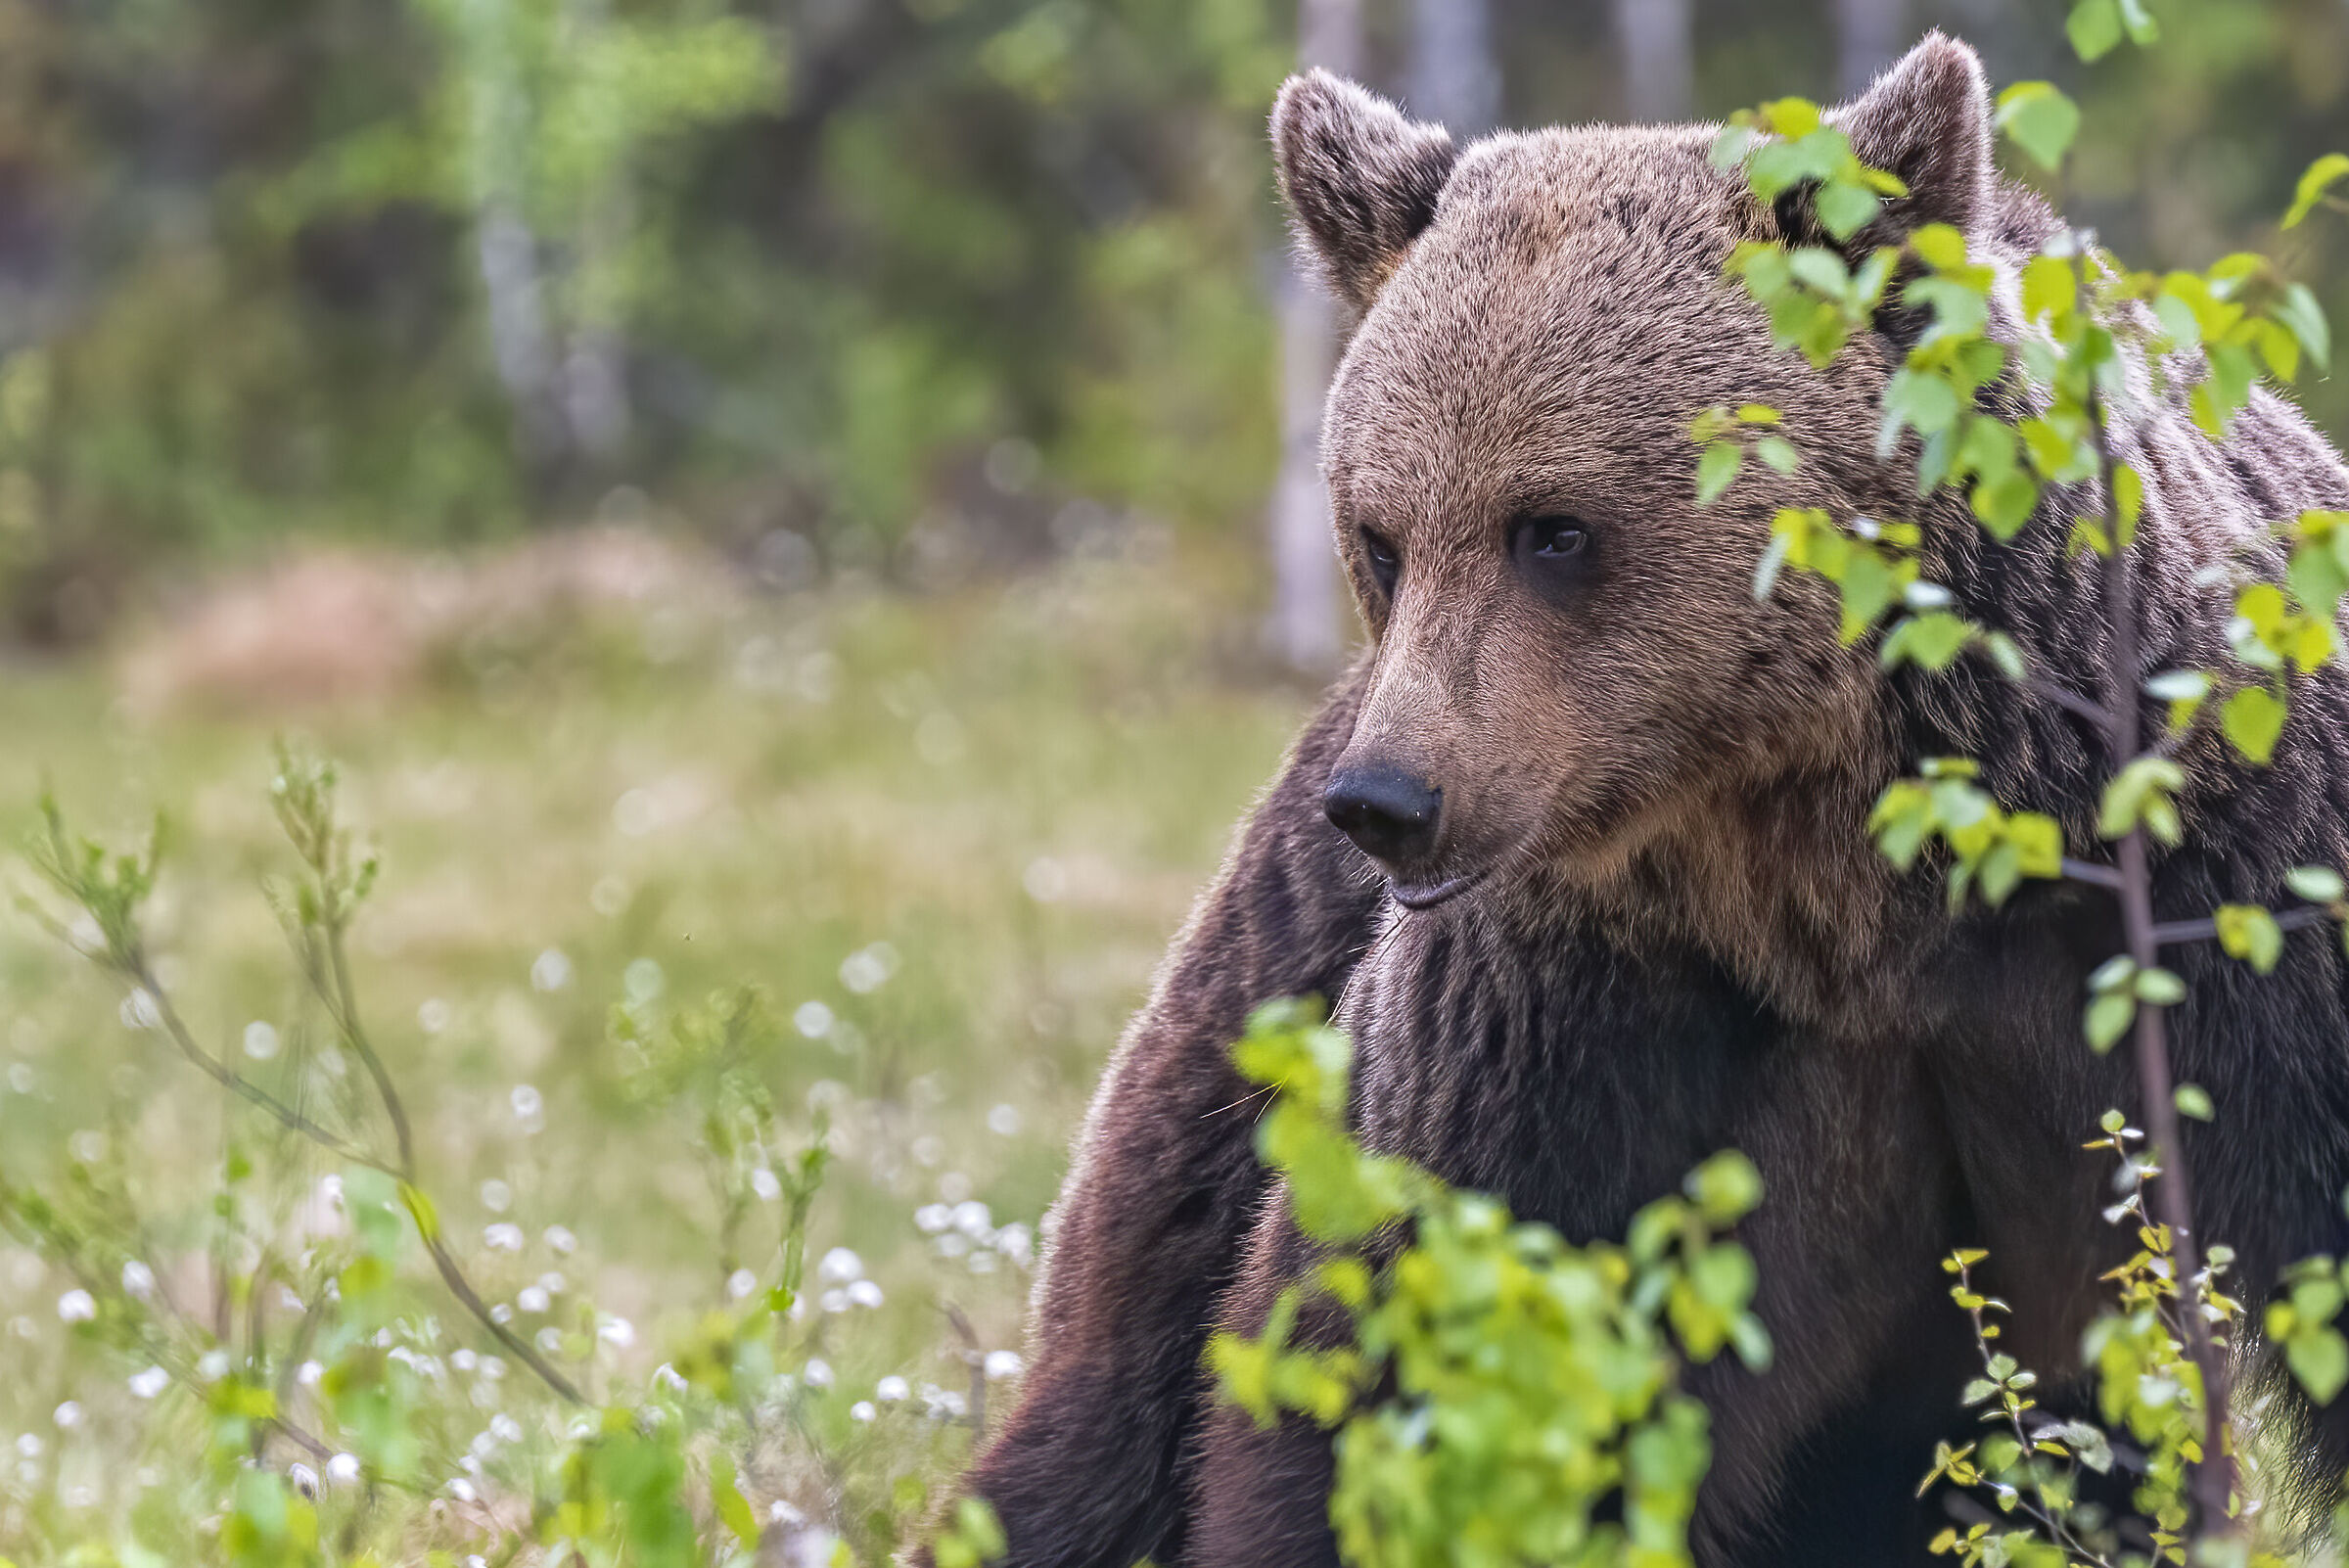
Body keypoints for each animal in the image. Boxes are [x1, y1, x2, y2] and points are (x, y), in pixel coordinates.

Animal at [933, 31, 2349, 1568]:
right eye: (1382, 535)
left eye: (1553, 529)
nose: (1387, 801)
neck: (1845, 867)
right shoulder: (1573, 1008)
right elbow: (1383, 1349)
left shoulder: (2239, 919)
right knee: (1111, 1391)